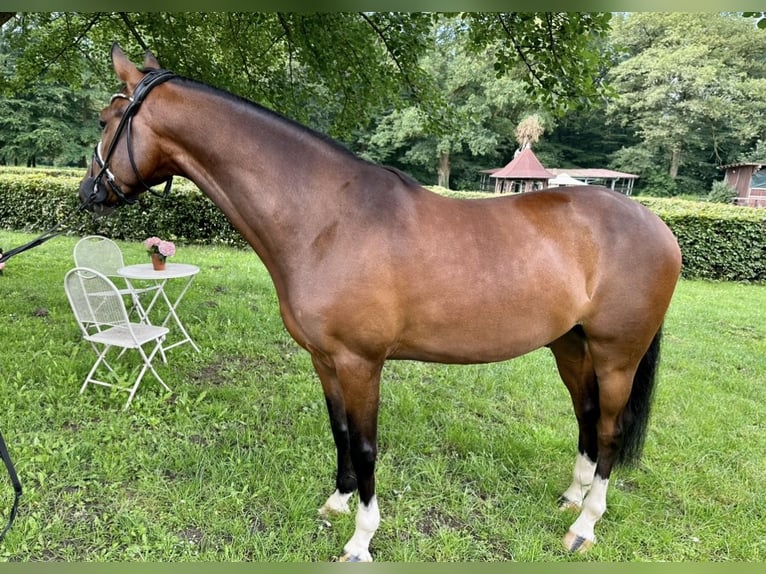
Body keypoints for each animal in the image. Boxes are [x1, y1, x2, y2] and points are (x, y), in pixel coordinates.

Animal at [79, 46, 684, 564]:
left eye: (108, 122)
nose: (88, 193)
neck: (326, 219)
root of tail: (655, 224)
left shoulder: (360, 362)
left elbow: (368, 445)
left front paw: (361, 540)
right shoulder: (325, 360)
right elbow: (341, 432)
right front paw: (336, 503)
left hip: (617, 355)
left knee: (609, 429)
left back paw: (585, 525)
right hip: (570, 346)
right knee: (586, 417)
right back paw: (571, 497)